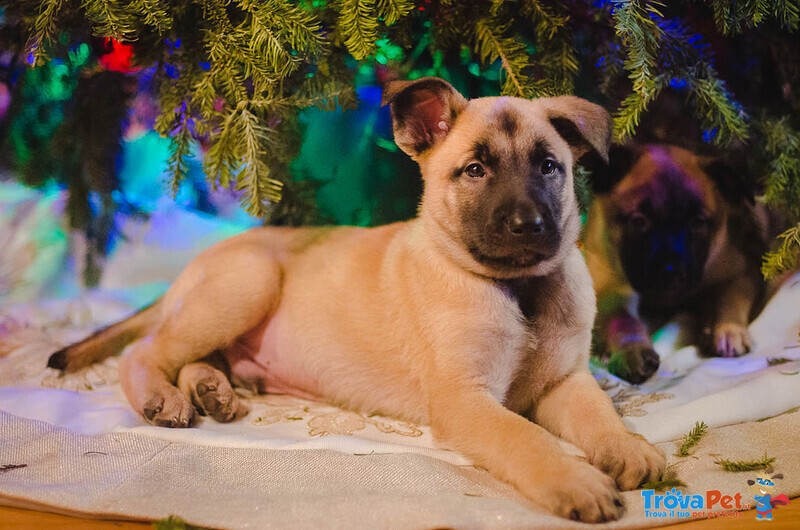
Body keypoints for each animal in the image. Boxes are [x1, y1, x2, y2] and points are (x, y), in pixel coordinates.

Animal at [48, 77, 664, 520]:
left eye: (549, 166)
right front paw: (576, 479)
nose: (528, 225)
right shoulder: (465, 400)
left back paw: (210, 389)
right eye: (475, 169)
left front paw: (629, 449)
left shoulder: (564, 381)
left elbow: (600, 414)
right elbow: (527, 439)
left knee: (190, 355)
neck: (518, 288)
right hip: (246, 284)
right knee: (145, 352)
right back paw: (166, 398)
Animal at [584, 143, 764, 384]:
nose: (673, 274)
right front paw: (633, 350)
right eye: (639, 220)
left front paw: (728, 329)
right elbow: (623, 319)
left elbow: (730, 297)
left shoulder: (737, 272)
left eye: (697, 222)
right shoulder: (605, 289)